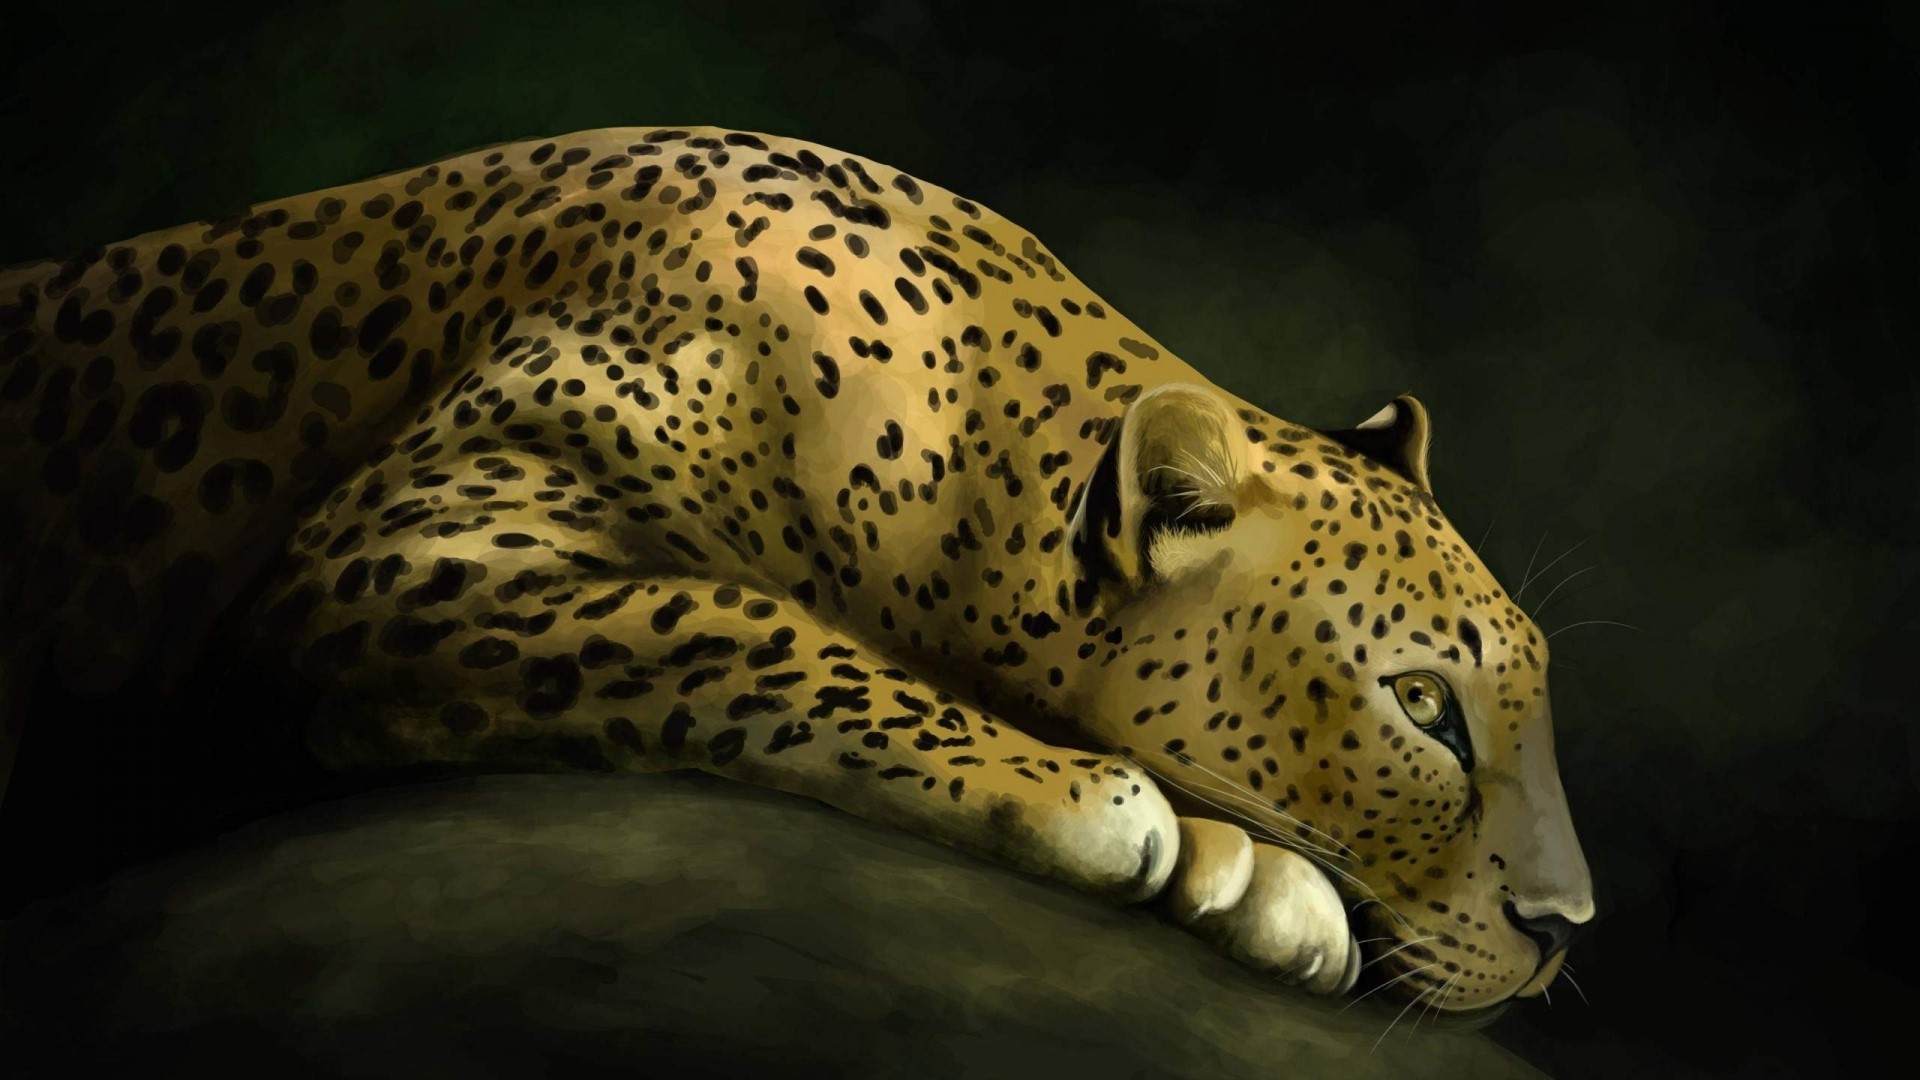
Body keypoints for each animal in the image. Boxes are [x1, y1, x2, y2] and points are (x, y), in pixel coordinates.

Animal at [0, 125, 1593, 1012]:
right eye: (1423, 706)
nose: (1566, 931)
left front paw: (1240, 866)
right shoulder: (412, 548)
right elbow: (747, 627)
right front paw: (1099, 802)